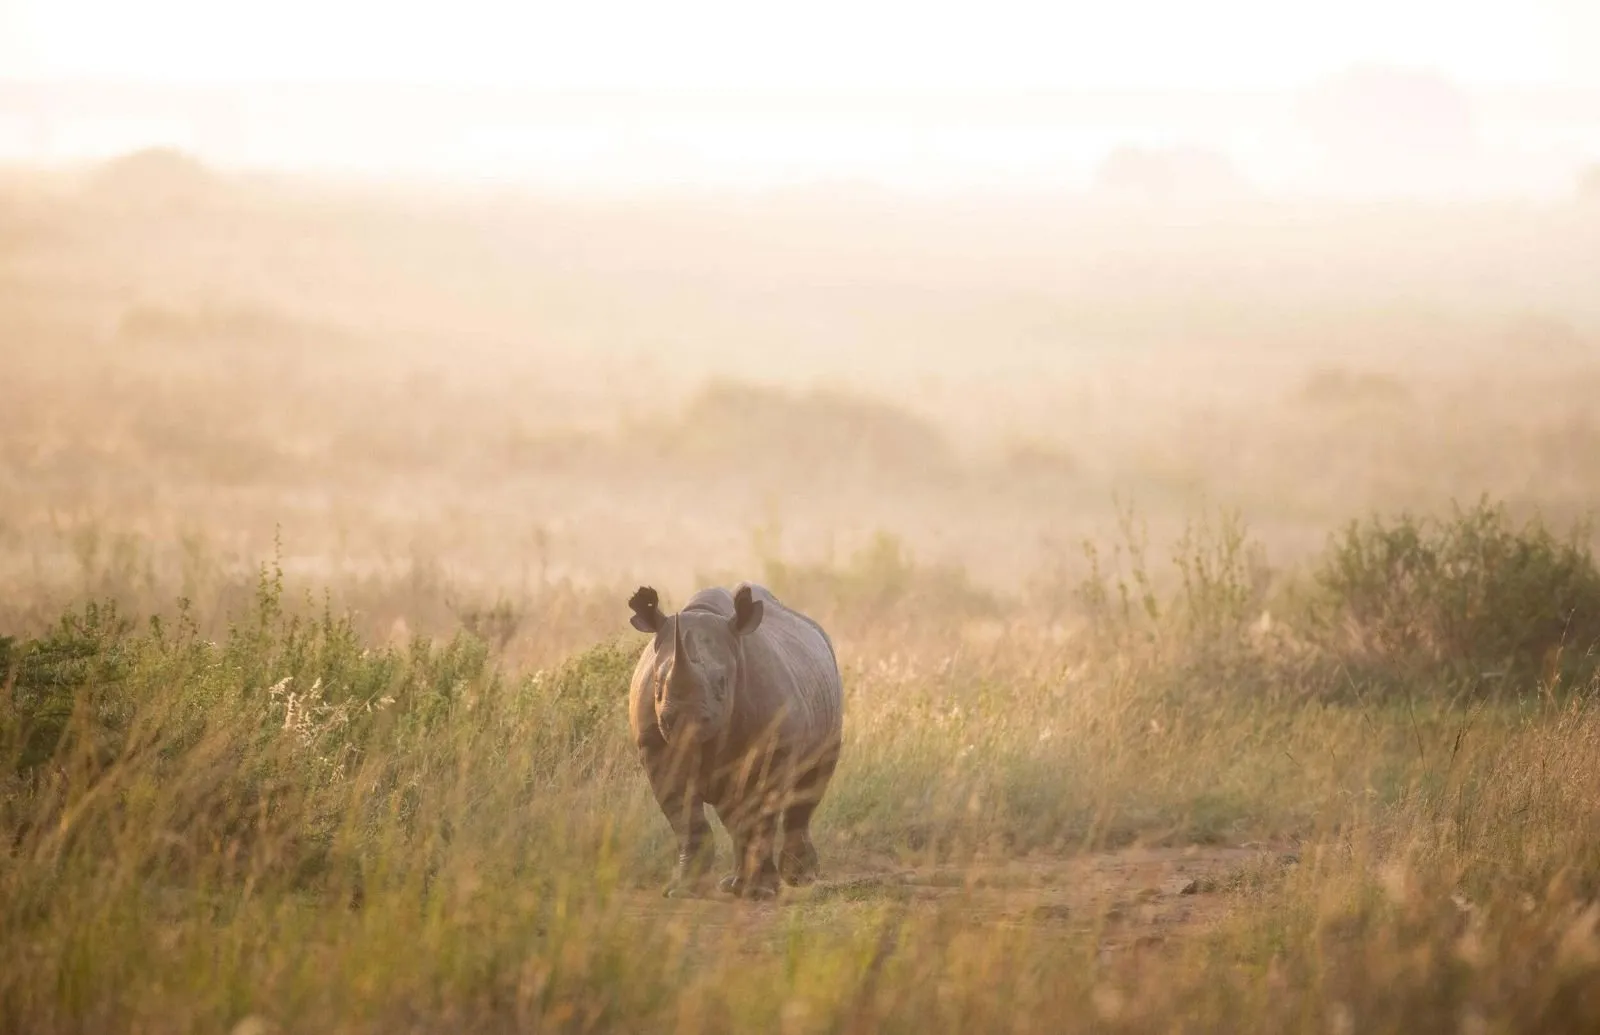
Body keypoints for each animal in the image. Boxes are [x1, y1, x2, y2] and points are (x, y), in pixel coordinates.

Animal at [627, 582, 844, 899]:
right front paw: (684, 889)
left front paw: (761, 891)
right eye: (656, 684)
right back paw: (734, 884)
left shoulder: (773, 746)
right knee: (732, 809)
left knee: (807, 788)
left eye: (721, 683)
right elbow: (685, 815)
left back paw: (798, 878)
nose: (686, 722)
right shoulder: (654, 747)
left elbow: (759, 810)